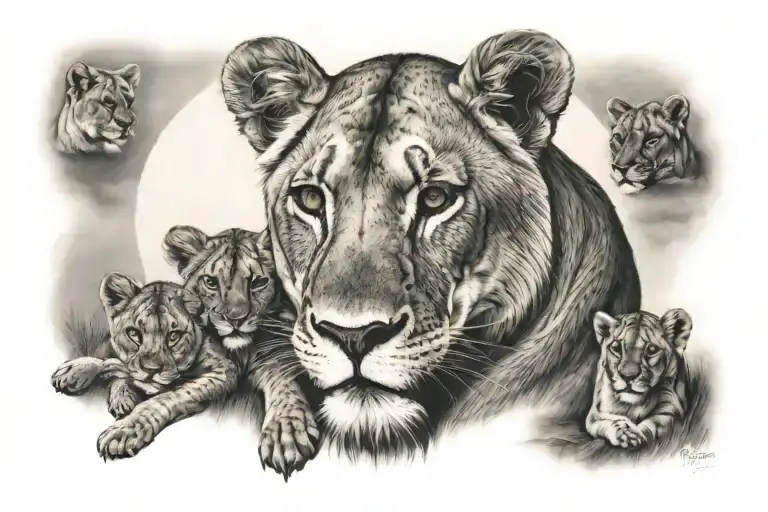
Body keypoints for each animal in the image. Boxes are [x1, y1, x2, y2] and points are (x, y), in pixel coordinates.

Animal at [586, 308, 692, 449]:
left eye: (652, 349)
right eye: (616, 347)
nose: (627, 376)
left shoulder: (671, 407)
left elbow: (654, 422)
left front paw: (637, 435)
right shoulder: (595, 411)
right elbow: (607, 420)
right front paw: (625, 433)